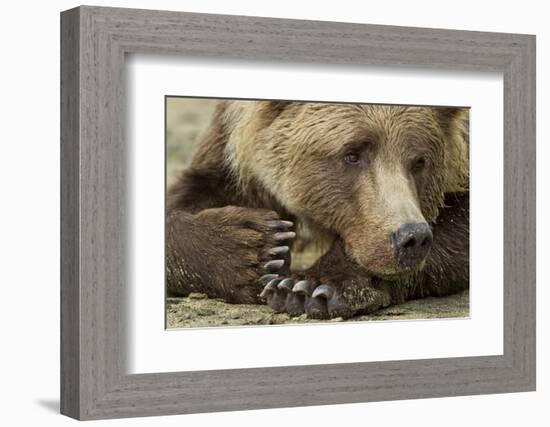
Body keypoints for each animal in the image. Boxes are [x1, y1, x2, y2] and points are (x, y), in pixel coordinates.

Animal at [167, 101, 470, 318]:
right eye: (352, 154)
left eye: (419, 161)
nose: (412, 238)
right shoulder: (229, 148)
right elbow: (192, 193)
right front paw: (255, 247)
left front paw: (310, 288)